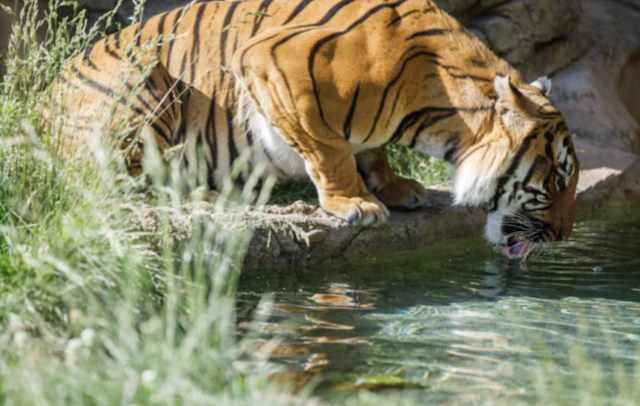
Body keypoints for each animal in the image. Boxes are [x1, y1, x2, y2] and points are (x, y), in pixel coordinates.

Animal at [50, 0, 579, 258]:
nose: (563, 236)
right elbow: (329, 148)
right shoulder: (273, 60)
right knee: (121, 184)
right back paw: (211, 196)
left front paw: (394, 187)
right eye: (555, 181)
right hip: (141, 81)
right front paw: (355, 203)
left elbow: (370, 148)